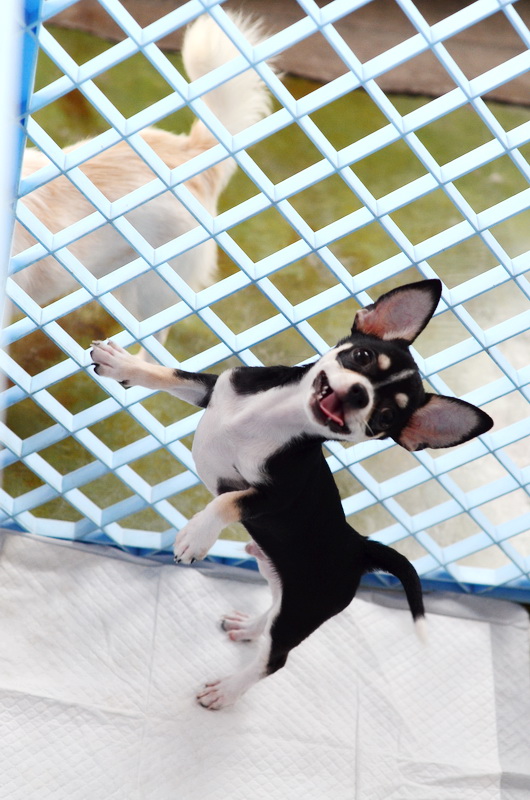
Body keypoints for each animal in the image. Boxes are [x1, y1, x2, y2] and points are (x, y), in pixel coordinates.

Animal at [90, 279, 493, 709]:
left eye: (385, 418)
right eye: (362, 356)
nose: (358, 394)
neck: (274, 417)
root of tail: (361, 547)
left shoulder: (273, 495)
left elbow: (225, 502)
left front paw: (196, 537)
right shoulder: (214, 389)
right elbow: (173, 374)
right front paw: (124, 365)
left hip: (303, 610)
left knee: (274, 659)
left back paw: (227, 690)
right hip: (276, 577)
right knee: (271, 611)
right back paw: (249, 627)